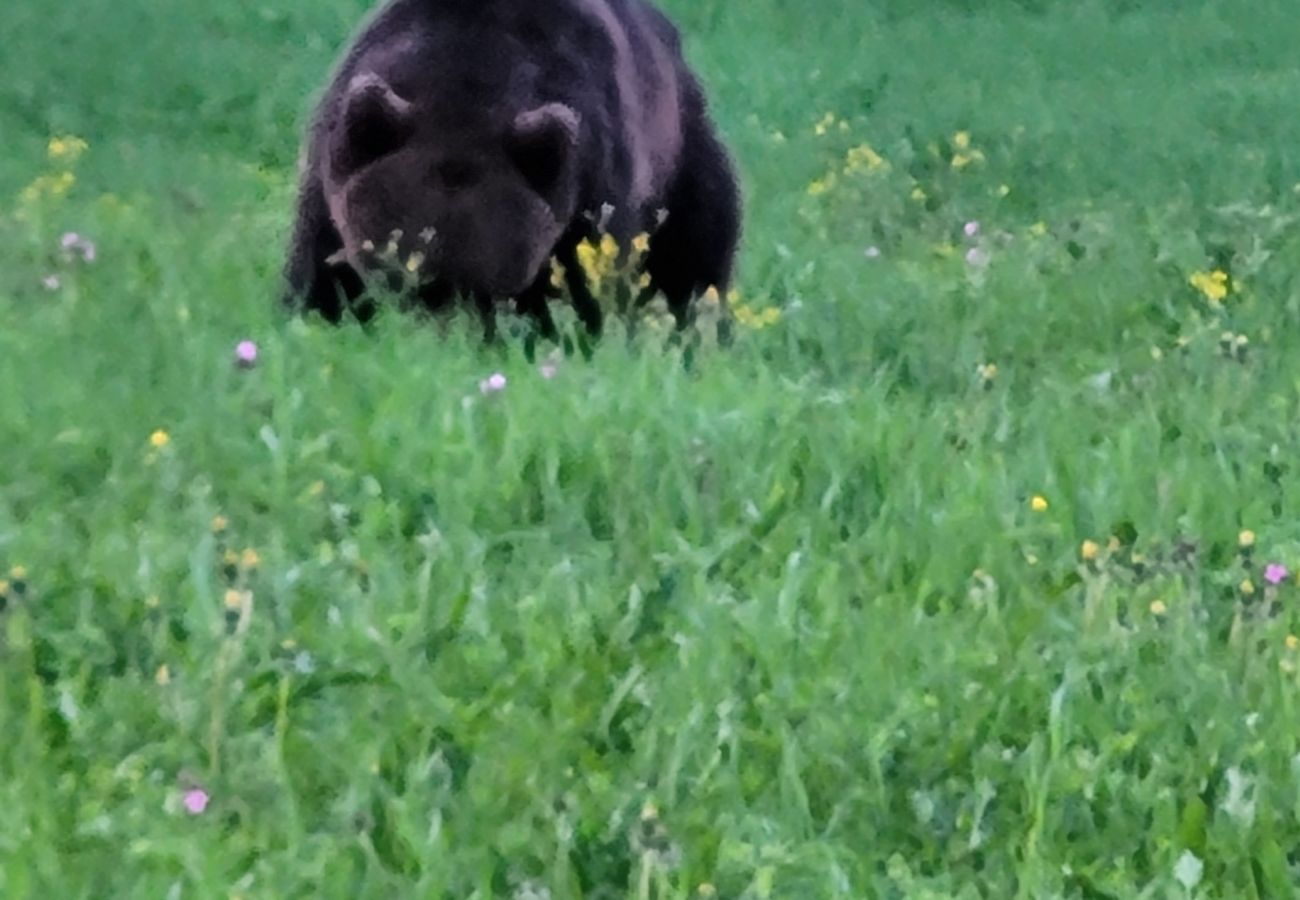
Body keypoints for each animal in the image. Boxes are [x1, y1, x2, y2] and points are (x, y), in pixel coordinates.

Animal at [283, 0, 743, 338]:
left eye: (487, 289)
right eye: (406, 277)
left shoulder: (590, 183)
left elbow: (587, 282)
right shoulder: (334, 174)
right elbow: (319, 273)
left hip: (684, 164)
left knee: (696, 263)